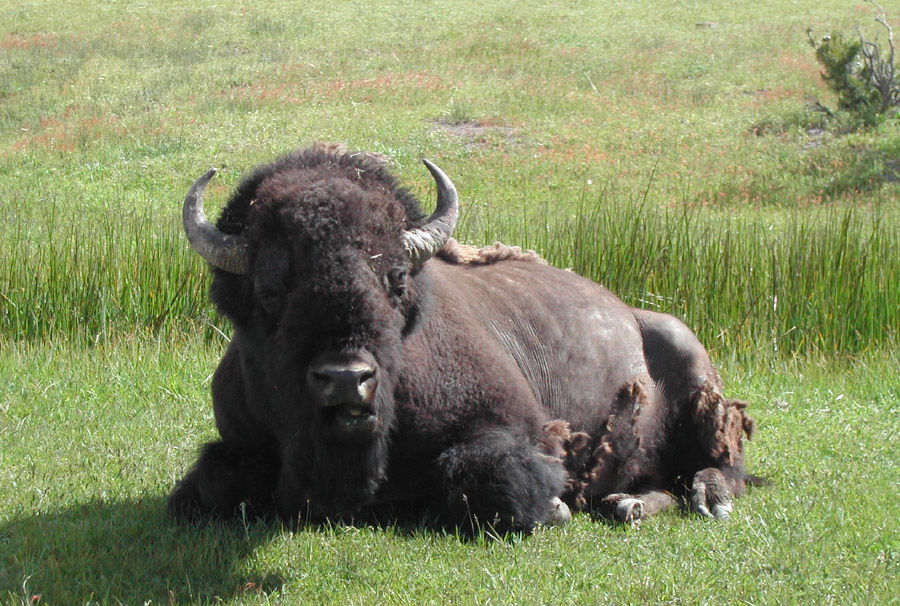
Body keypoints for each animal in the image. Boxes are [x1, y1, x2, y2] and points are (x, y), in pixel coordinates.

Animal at [169, 145, 760, 536]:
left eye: (396, 282)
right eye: (271, 290)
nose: (346, 379)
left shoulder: (518, 426)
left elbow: (492, 478)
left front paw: (557, 508)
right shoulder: (237, 443)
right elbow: (210, 487)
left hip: (693, 368)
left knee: (721, 467)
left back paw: (706, 499)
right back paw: (625, 504)